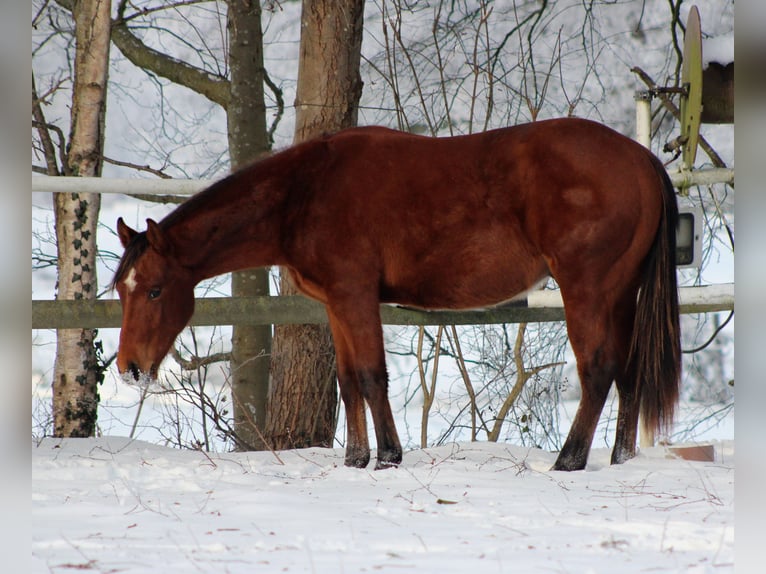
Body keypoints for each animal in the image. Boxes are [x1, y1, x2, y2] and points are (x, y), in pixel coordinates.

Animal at [112, 117, 681, 471]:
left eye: (156, 291)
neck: (306, 192)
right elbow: (347, 381)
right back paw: (620, 458)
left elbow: (370, 376)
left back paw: (569, 459)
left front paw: (387, 456)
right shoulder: (336, 305)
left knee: (599, 370)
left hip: (587, 291)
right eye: (122, 289)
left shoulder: (355, 297)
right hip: (620, 294)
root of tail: (640, 158)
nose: (130, 368)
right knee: (630, 371)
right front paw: (354, 458)